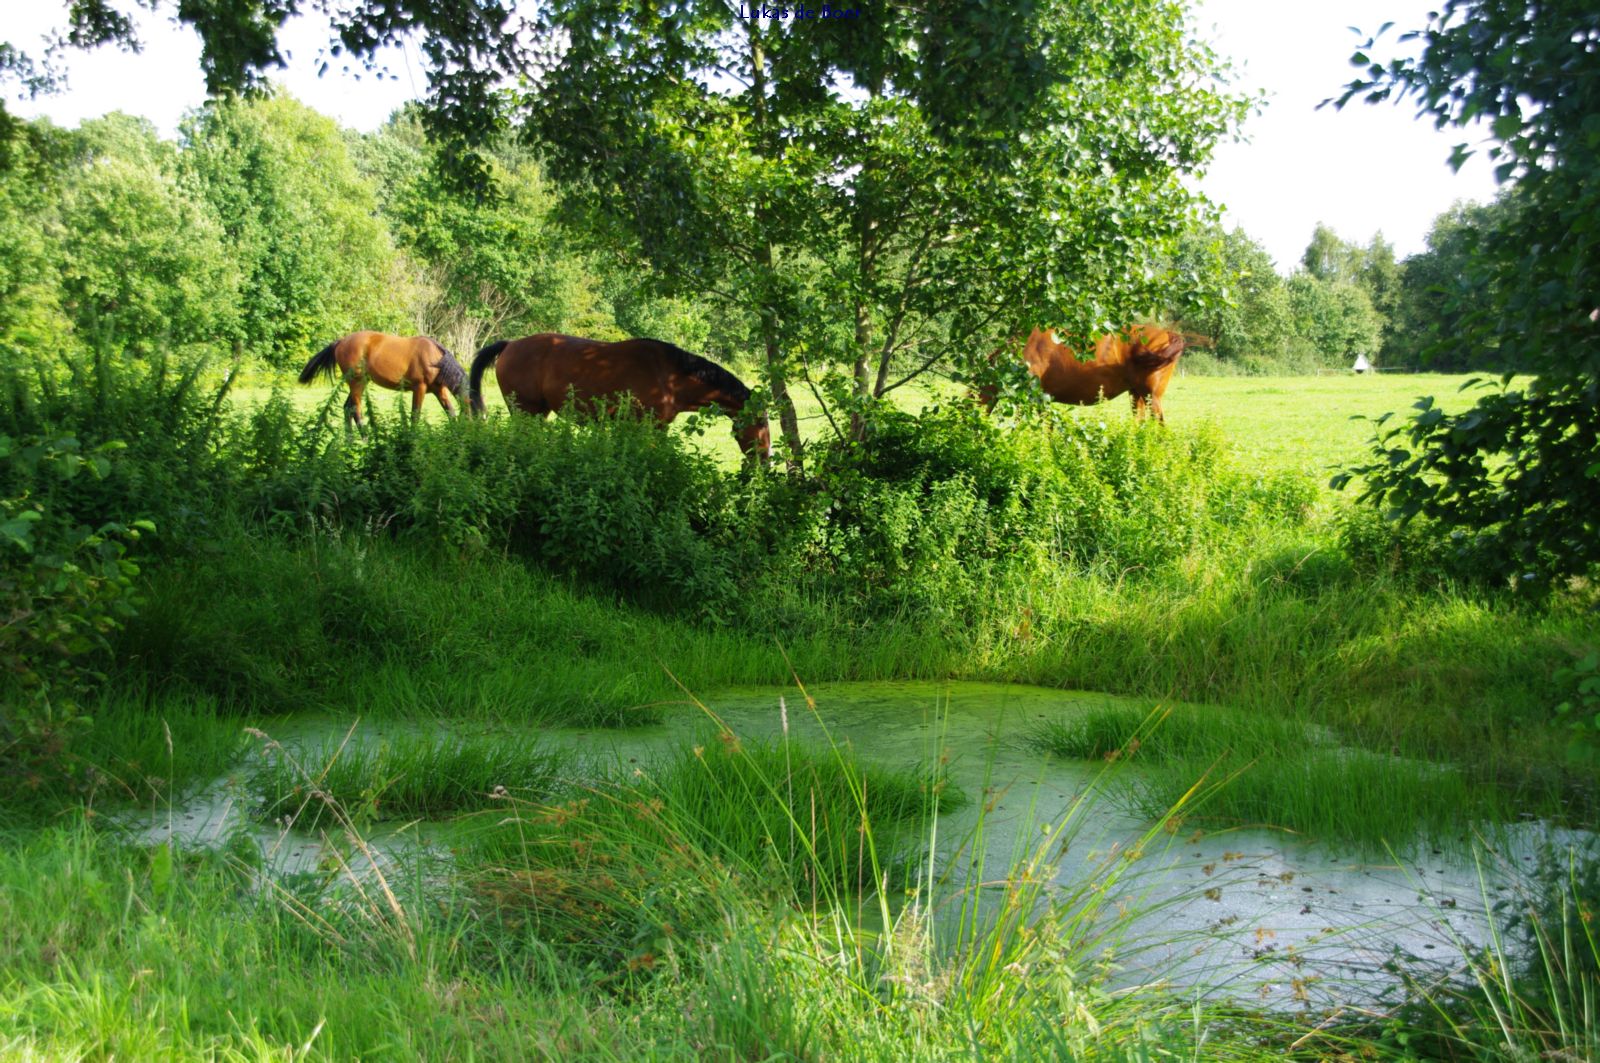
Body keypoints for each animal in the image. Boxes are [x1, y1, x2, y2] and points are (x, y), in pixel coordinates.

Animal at [298, 331, 468, 429]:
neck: (434, 359)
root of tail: (340, 342)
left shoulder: (439, 390)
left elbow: (451, 413)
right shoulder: (419, 388)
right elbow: (415, 416)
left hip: (359, 383)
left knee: (347, 408)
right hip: (357, 382)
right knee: (356, 410)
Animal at [468, 333, 772, 460]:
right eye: (762, 426)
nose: (764, 462)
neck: (670, 377)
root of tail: (510, 345)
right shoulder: (647, 427)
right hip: (526, 411)